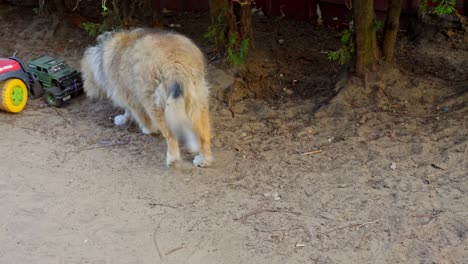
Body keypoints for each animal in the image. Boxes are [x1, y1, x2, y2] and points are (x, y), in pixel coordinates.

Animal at [80, 28, 212, 167]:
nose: (88, 95)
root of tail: (174, 62)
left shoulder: (129, 96)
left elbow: (136, 114)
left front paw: (147, 128)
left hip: (154, 104)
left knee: (171, 135)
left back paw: (172, 158)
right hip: (197, 102)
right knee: (204, 135)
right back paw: (204, 160)